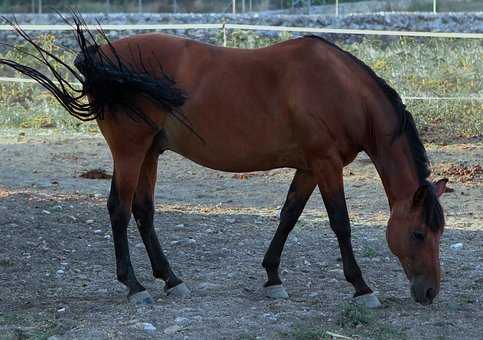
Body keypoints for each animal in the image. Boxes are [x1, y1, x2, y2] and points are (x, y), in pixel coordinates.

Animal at [0, 15, 448, 308]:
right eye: (419, 234)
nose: (429, 293)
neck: (339, 87)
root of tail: (100, 56)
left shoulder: (308, 167)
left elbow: (288, 216)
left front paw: (272, 277)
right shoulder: (325, 164)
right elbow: (340, 223)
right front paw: (361, 287)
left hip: (149, 153)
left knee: (143, 211)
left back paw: (171, 279)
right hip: (129, 152)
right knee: (120, 210)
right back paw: (135, 286)